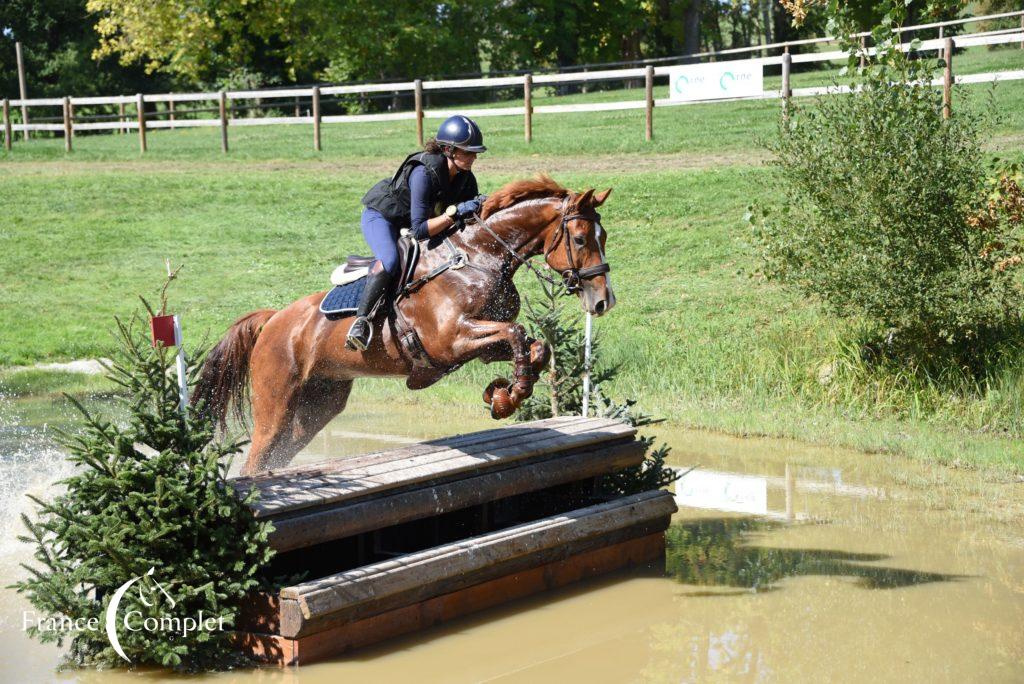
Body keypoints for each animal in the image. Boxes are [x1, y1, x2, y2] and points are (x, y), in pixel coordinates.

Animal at [195, 176, 618, 475]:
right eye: (581, 239)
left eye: (603, 236)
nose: (603, 301)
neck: (480, 257)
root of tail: (273, 320)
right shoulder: (451, 340)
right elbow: (516, 334)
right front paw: (506, 398)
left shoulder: (478, 343)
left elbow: (534, 346)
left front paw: (503, 392)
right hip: (277, 399)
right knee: (257, 456)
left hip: (320, 401)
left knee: (280, 453)